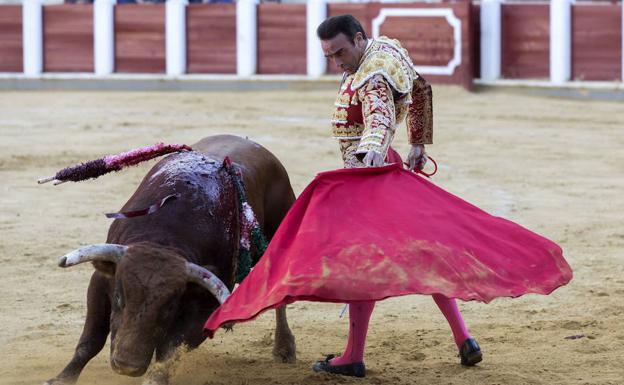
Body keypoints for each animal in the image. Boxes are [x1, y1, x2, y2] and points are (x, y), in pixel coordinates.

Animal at [44, 135, 298, 384]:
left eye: (170, 307)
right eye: (118, 297)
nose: (126, 366)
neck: (163, 240)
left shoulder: (205, 307)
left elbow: (169, 352)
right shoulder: (101, 281)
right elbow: (91, 340)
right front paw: (62, 378)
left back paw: (284, 348)